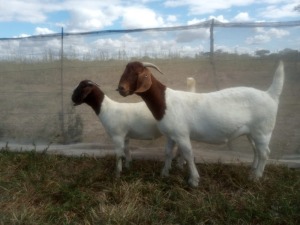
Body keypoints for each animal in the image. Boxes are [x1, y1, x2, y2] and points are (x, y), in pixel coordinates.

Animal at [116, 60, 284, 186]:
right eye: (124, 71)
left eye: (136, 73)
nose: (120, 89)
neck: (165, 101)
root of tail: (270, 95)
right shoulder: (171, 134)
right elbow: (168, 152)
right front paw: (164, 173)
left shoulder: (182, 134)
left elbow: (188, 154)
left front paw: (194, 180)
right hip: (252, 132)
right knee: (256, 150)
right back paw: (253, 169)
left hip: (263, 130)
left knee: (265, 153)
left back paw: (256, 177)